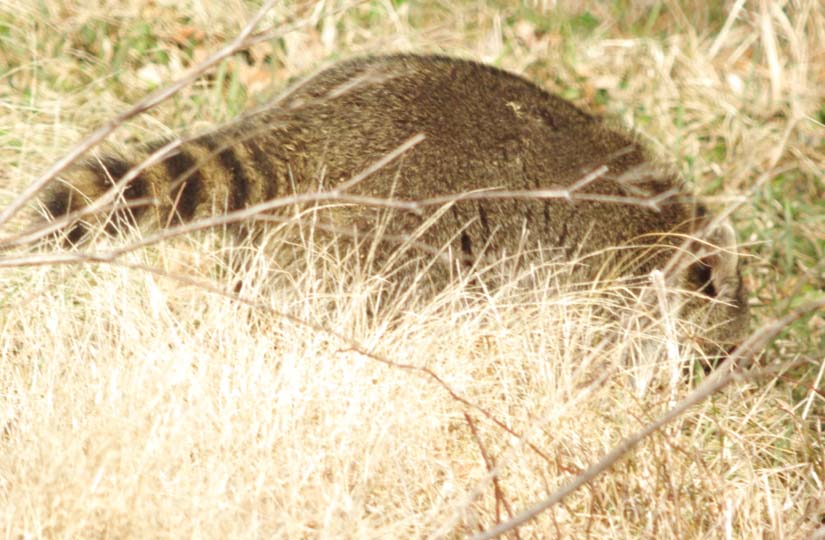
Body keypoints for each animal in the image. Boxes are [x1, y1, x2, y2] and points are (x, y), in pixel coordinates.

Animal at [38, 54, 749, 355]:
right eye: (718, 294)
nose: (731, 354)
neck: (668, 225)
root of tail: (306, 125)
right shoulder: (599, 281)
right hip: (387, 228)